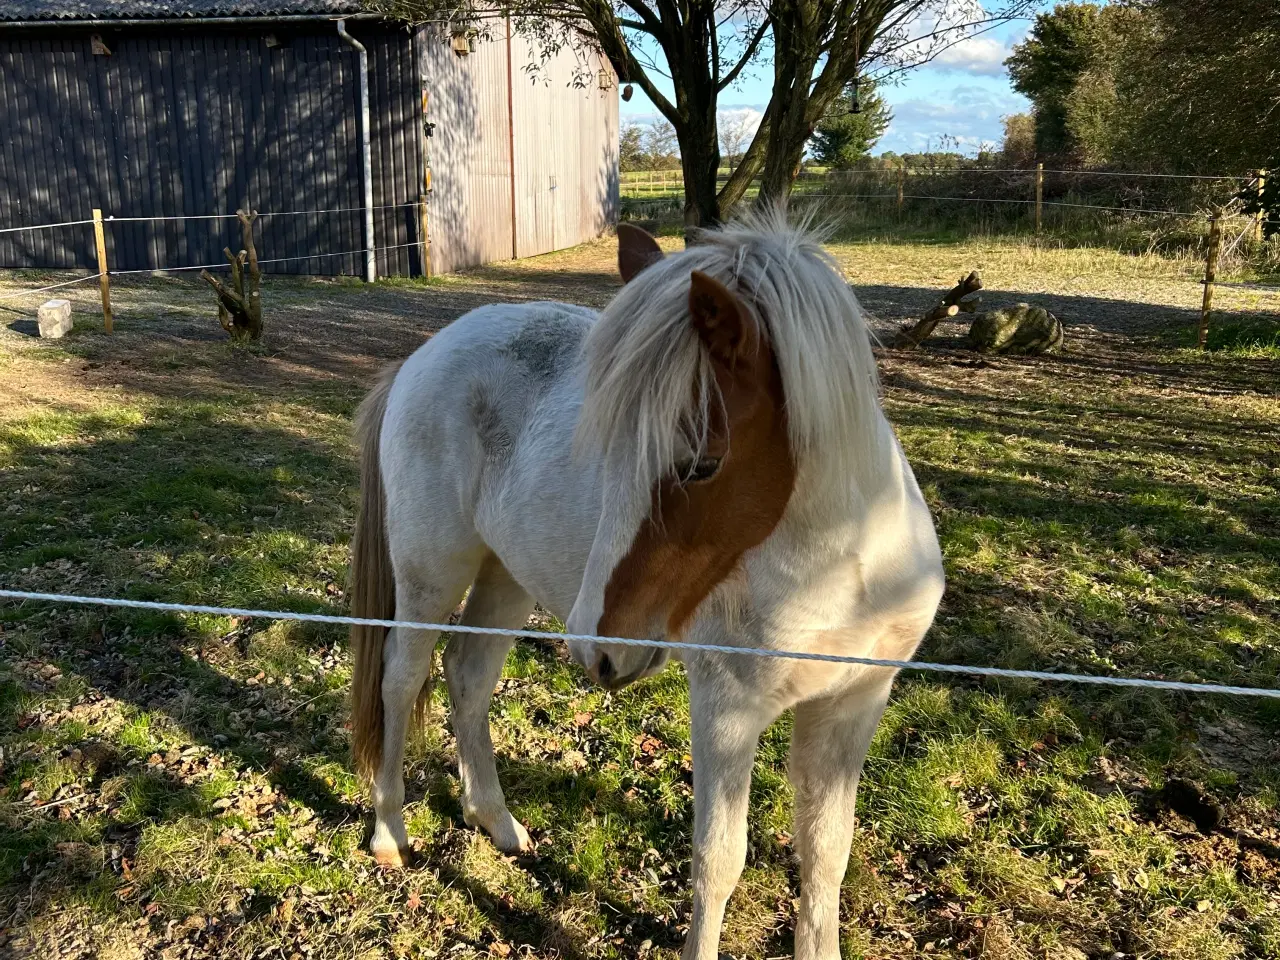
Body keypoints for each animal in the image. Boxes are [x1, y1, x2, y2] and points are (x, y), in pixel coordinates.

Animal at [345, 212, 947, 960]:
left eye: (700, 464)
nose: (596, 650)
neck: (848, 566)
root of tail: (417, 360)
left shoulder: (853, 705)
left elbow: (827, 852)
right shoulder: (726, 713)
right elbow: (720, 861)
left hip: (506, 577)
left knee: (468, 675)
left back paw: (498, 822)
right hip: (431, 573)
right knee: (401, 680)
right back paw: (390, 833)